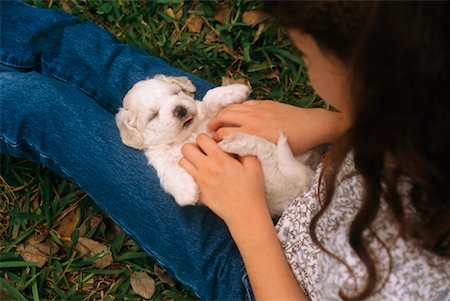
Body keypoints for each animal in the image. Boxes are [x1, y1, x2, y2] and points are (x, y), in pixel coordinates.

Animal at [118, 75, 318, 216]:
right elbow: (170, 172)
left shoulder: (212, 119)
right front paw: (186, 190)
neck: (187, 135)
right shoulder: (162, 160)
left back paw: (238, 141)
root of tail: (301, 181)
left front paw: (234, 91)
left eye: (175, 93)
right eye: (153, 116)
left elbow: (208, 100)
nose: (180, 109)